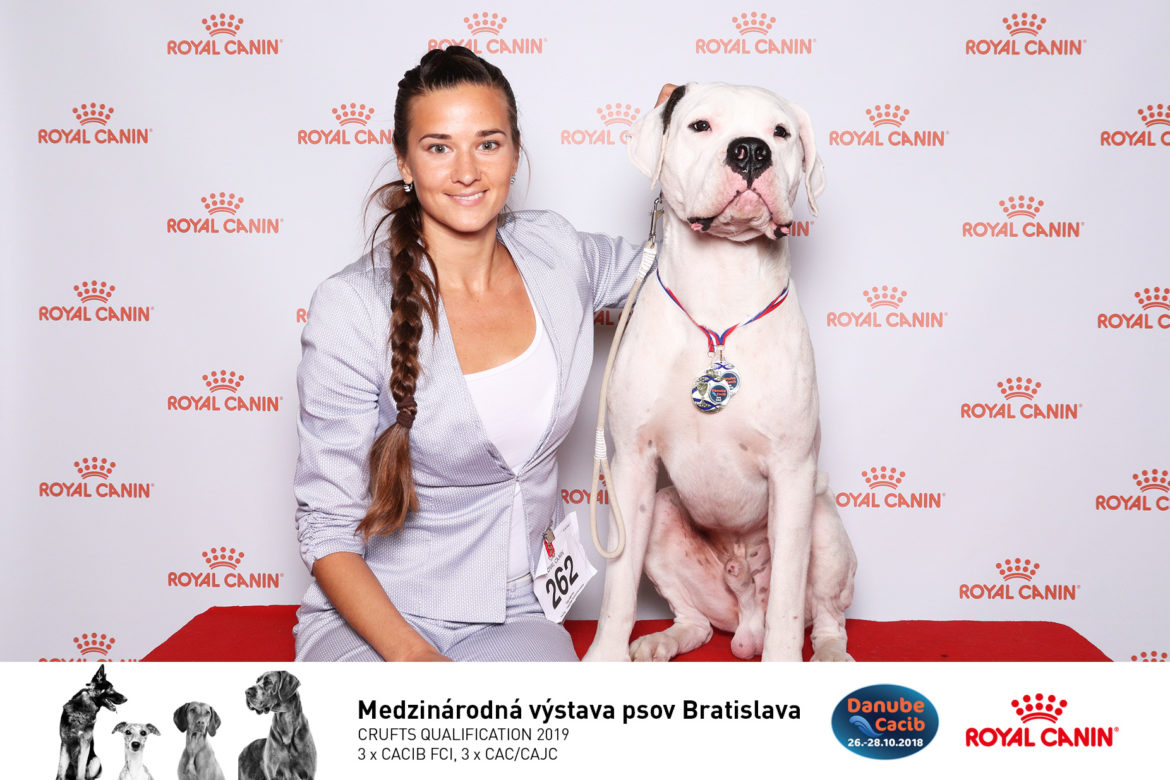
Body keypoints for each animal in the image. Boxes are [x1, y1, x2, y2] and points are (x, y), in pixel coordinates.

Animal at [584, 82, 856, 662]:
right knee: (697, 620)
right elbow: (617, 590)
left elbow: (788, 606)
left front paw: (785, 662)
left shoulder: (792, 471)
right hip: (664, 516)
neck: (722, 285)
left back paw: (827, 652)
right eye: (701, 126)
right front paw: (605, 656)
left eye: (782, 132)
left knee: (827, 615)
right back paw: (665, 638)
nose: (751, 150)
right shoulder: (632, 464)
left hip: (822, 520)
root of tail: (743, 620)